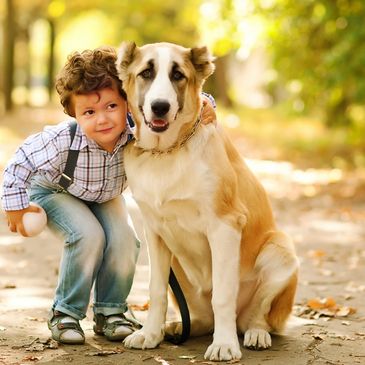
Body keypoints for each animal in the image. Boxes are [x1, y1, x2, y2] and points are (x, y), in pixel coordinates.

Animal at [116, 41, 298, 360]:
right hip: (178, 264)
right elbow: (155, 290)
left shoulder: (225, 226)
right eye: (146, 73)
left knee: (257, 314)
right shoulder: (155, 232)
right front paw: (150, 334)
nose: (160, 106)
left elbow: (224, 294)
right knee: (201, 318)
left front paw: (224, 344)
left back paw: (255, 333)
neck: (167, 153)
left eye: (178, 75)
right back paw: (177, 327)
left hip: (281, 252)